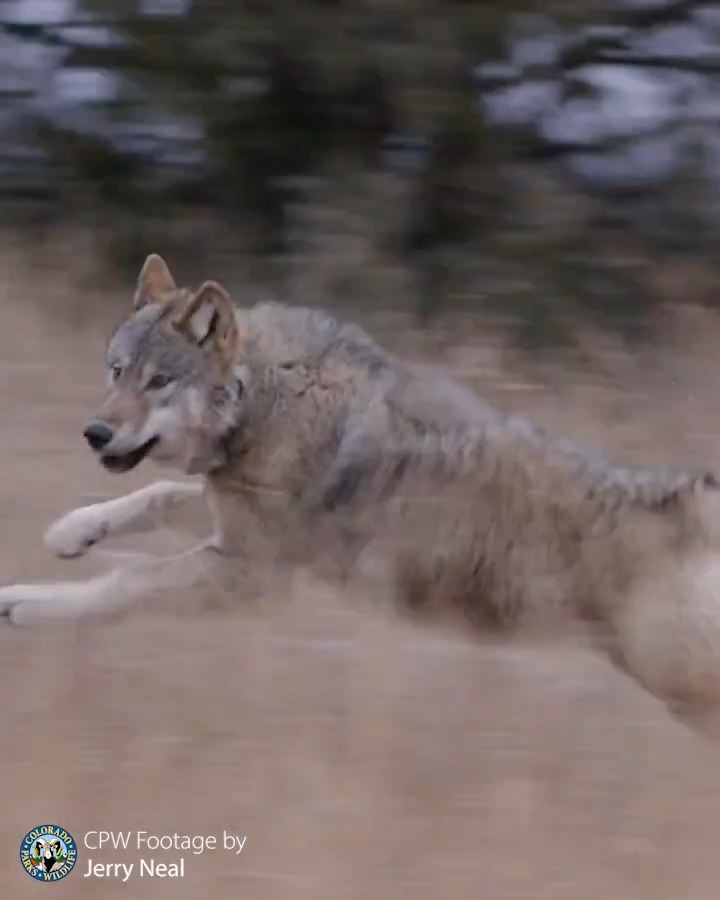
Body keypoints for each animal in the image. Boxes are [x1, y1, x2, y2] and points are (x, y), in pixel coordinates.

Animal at [3, 252, 720, 710]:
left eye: (158, 382)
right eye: (116, 370)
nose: (95, 433)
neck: (263, 399)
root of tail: (690, 495)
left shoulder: (247, 573)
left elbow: (123, 580)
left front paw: (28, 605)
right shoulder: (227, 514)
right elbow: (150, 497)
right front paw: (70, 533)